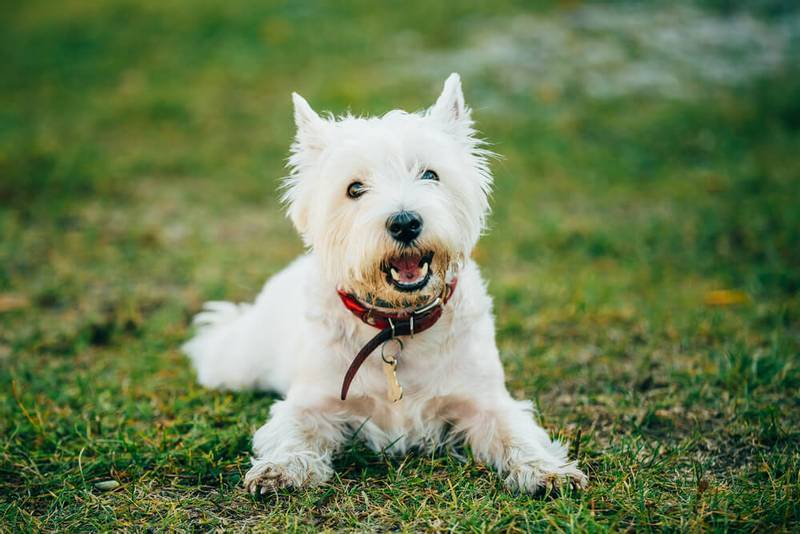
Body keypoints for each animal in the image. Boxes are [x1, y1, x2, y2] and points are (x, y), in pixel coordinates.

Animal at [186, 73, 588, 496]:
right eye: (354, 188)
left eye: (430, 174)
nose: (405, 222)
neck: (398, 323)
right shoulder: (314, 400)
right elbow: (295, 431)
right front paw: (280, 469)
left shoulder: (484, 401)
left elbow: (516, 434)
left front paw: (548, 470)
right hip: (239, 359)